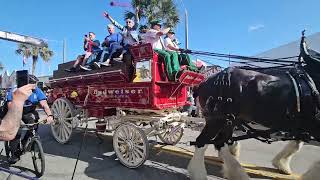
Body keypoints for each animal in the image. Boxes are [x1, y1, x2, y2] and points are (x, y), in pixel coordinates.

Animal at [188, 32, 320, 180]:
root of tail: (205, 81)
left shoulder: (304, 126)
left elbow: (297, 144)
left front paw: (281, 164)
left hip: (228, 120)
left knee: (219, 142)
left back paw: (236, 172)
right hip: (216, 119)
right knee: (202, 142)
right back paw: (200, 174)